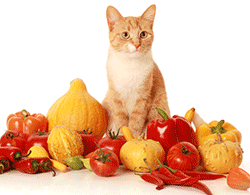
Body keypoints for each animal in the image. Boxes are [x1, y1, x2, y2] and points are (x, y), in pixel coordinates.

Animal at [101, 3, 170, 136]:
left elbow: (136, 121)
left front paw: (132, 137)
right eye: (125, 35)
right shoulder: (115, 97)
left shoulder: (143, 98)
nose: (137, 44)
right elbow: (121, 120)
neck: (130, 65)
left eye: (143, 34)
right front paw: (121, 136)